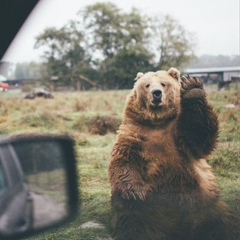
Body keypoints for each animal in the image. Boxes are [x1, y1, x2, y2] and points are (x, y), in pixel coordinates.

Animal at [109, 68, 240, 240]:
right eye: (147, 85)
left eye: (163, 84)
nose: (156, 93)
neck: (157, 122)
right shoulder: (135, 135)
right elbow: (125, 160)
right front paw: (134, 192)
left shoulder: (180, 135)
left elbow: (200, 136)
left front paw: (192, 88)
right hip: (149, 212)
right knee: (134, 220)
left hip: (209, 206)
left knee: (223, 224)